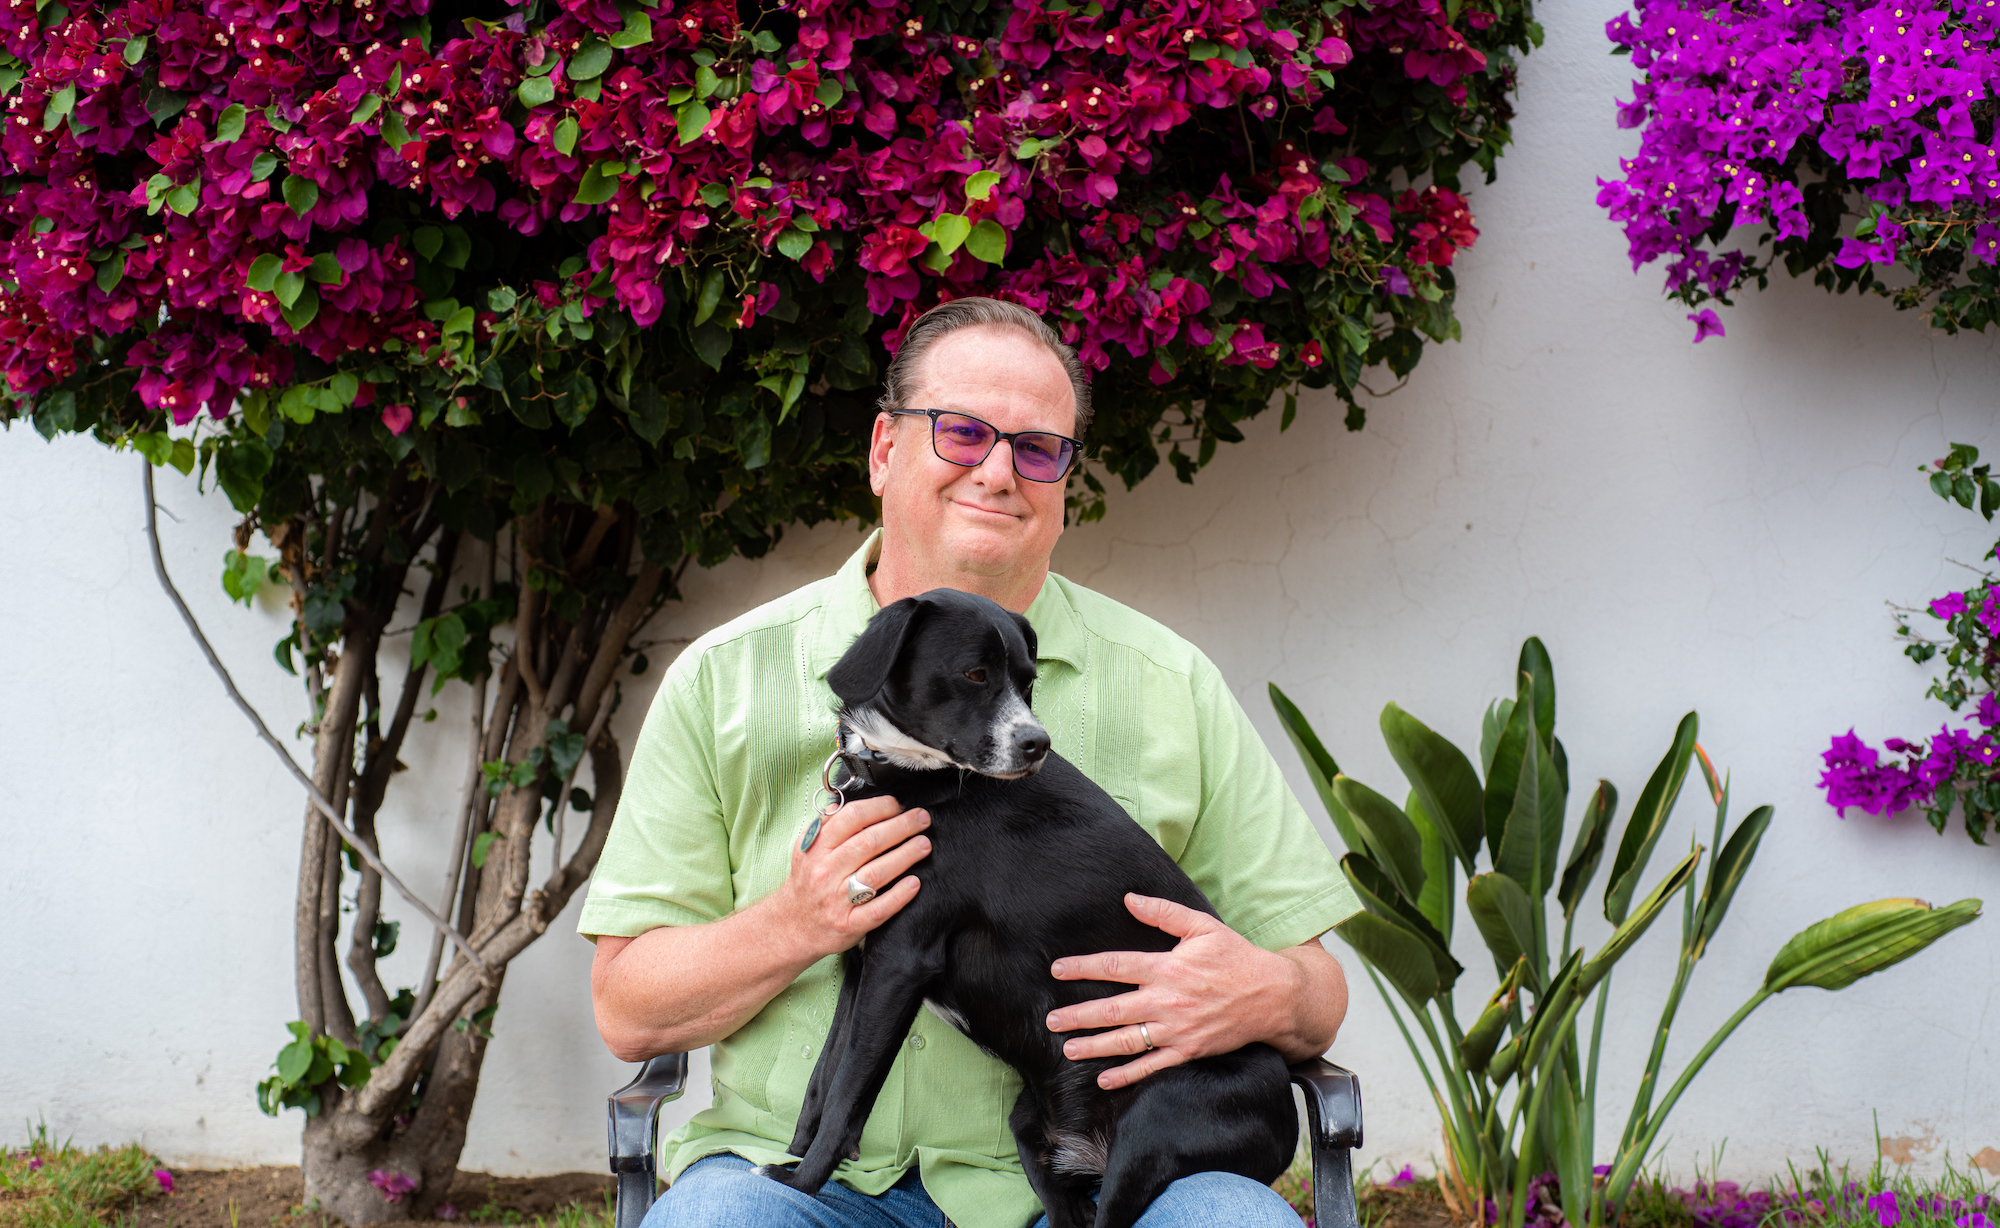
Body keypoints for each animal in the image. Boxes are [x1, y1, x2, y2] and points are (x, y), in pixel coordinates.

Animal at [760, 592, 1296, 1224]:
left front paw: (800, 1183)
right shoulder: (862, 958)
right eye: (974, 674)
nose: (1037, 744)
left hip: (1153, 1125)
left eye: (1028, 682)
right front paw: (789, 1158)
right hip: (1032, 1129)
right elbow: (823, 1079)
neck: (918, 781)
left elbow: (848, 1090)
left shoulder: (900, 961)